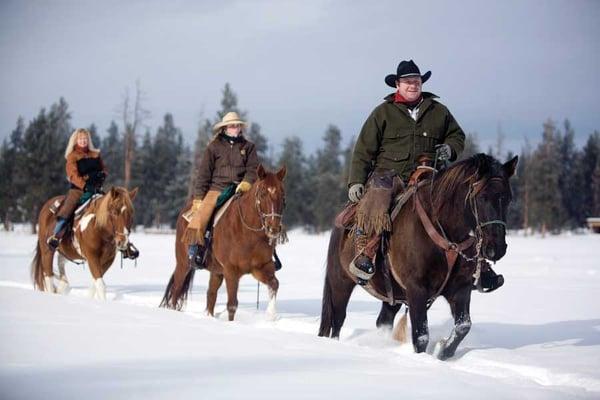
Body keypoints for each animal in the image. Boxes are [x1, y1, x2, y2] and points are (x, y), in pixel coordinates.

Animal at [161, 164, 288, 320]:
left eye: (282, 195)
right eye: (263, 193)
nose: (273, 228)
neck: (248, 233)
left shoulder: (261, 267)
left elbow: (274, 284)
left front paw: (271, 315)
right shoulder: (231, 271)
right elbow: (232, 305)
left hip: (216, 271)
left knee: (211, 294)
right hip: (183, 264)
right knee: (176, 290)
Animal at [318, 153, 520, 360]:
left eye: (508, 199)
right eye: (482, 197)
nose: (496, 248)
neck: (445, 234)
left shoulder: (460, 289)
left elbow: (463, 326)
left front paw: (443, 352)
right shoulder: (417, 290)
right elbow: (421, 336)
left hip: (391, 295)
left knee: (383, 321)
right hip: (341, 282)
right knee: (337, 319)